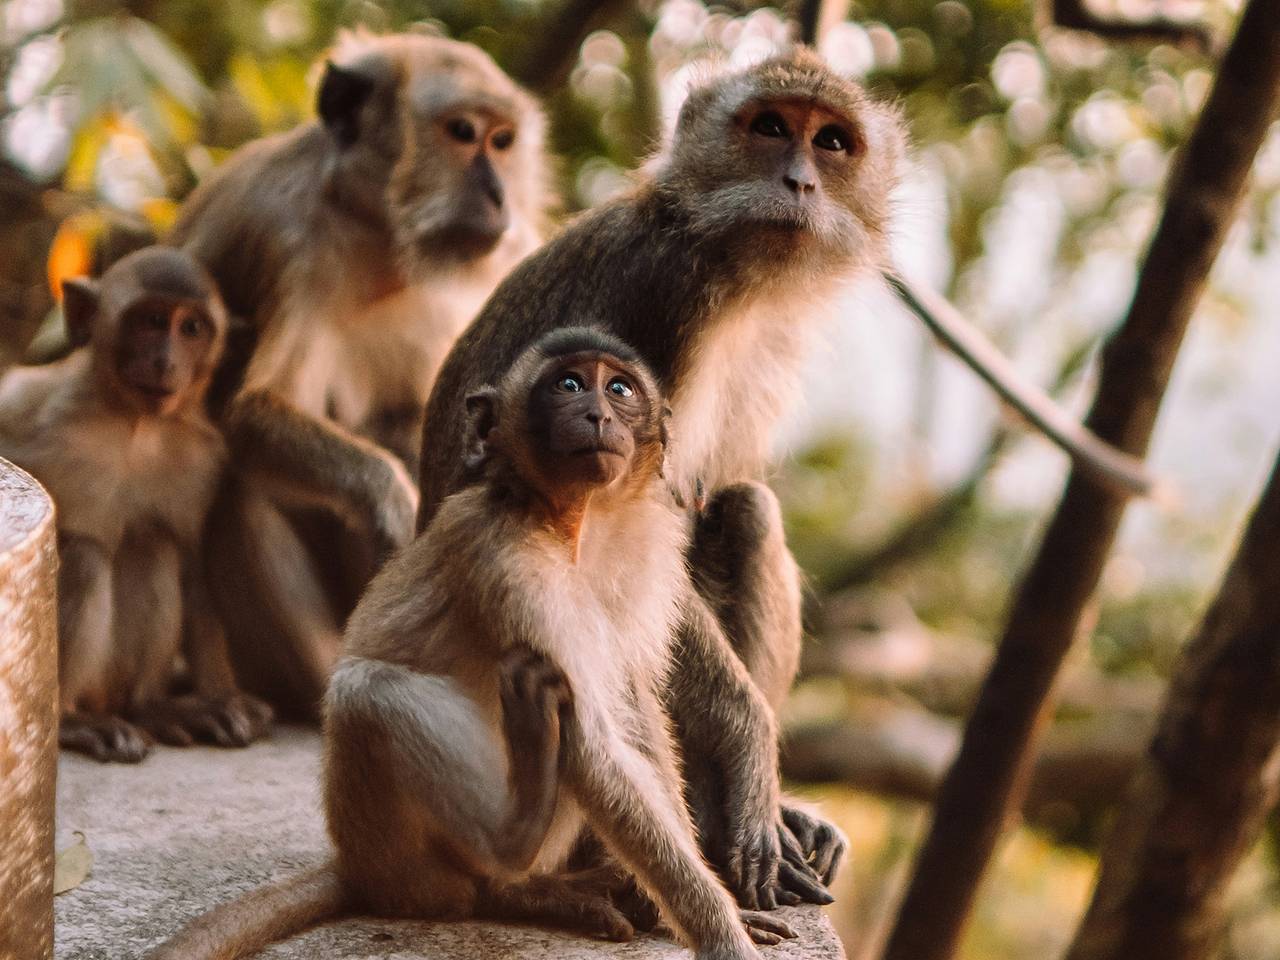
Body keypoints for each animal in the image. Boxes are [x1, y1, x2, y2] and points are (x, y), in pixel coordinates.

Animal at [0, 248, 275, 768]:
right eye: (151, 321)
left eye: (191, 328)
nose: (165, 361)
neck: (132, 423)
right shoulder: (24, 402)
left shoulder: (201, 460)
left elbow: (193, 564)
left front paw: (221, 696)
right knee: (85, 555)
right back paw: (73, 723)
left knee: (151, 542)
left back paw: (150, 708)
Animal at [145, 327, 793, 957]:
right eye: (568, 384)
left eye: (619, 389)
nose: (597, 415)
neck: (573, 524)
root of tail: (355, 865)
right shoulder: (509, 563)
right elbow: (593, 743)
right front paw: (721, 935)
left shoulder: (643, 554)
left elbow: (633, 719)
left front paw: (707, 910)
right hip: (397, 851)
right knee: (369, 692)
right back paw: (511, 856)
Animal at [166, 28, 550, 721]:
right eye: (462, 133)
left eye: (503, 141)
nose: (499, 195)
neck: (382, 237)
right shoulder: (293, 237)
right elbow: (253, 411)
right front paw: (388, 496)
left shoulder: (515, 249)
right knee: (245, 485)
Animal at [419, 48, 901, 911]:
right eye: (770, 127)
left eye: (833, 143)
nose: (799, 181)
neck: (729, 262)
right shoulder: (666, 300)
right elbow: (653, 539)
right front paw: (750, 751)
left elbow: (708, 505)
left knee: (746, 510)